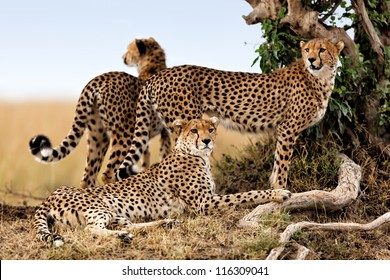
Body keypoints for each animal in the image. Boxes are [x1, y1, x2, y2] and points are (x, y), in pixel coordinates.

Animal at [28, 36, 171, 187]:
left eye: (129, 50)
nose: (123, 57)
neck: (152, 65)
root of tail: (96, 79)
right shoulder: (162, 132)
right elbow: (164, 155)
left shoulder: (146, 137)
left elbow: (146, 160)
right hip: (124, 136)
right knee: (108, 173)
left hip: (97, 137)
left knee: (88, 177)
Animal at [33, 117, 290, 246]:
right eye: (194, 131)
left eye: (210, 128)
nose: (207, 140)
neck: (195, 155)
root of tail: (50, 196)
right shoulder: (204, 204)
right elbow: (246, 194)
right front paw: (278, 193)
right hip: (100, 207)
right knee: (91, 229)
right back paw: (122, 237)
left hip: (115, 212)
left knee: (126, 225)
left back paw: (164, 223)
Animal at [116, 38, 344, 189]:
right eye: (307, 50)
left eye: (322, 49)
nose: (311, 59)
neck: (320, 78)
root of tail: (160, 75)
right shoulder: (288, 129)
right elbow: (282, 162)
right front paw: (280, 190)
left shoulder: (283, 130)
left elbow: (277, 162)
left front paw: (273, 186)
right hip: (187, 124)